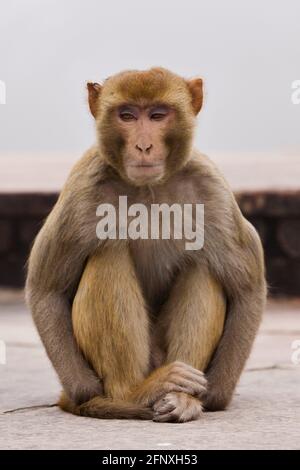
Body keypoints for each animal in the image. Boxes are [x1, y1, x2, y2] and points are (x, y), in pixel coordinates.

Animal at [25, 67, 264, 422]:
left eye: (157, 115)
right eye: (127, 115)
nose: (143, 145)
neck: (148, 189)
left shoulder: (212, 188)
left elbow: (247, 289)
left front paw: (212, 398)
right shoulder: (83, 188)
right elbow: (47, 290)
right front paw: (88, 397)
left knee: (202, 266)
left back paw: (179, 397)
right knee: (108, 252)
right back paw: (133, 392)